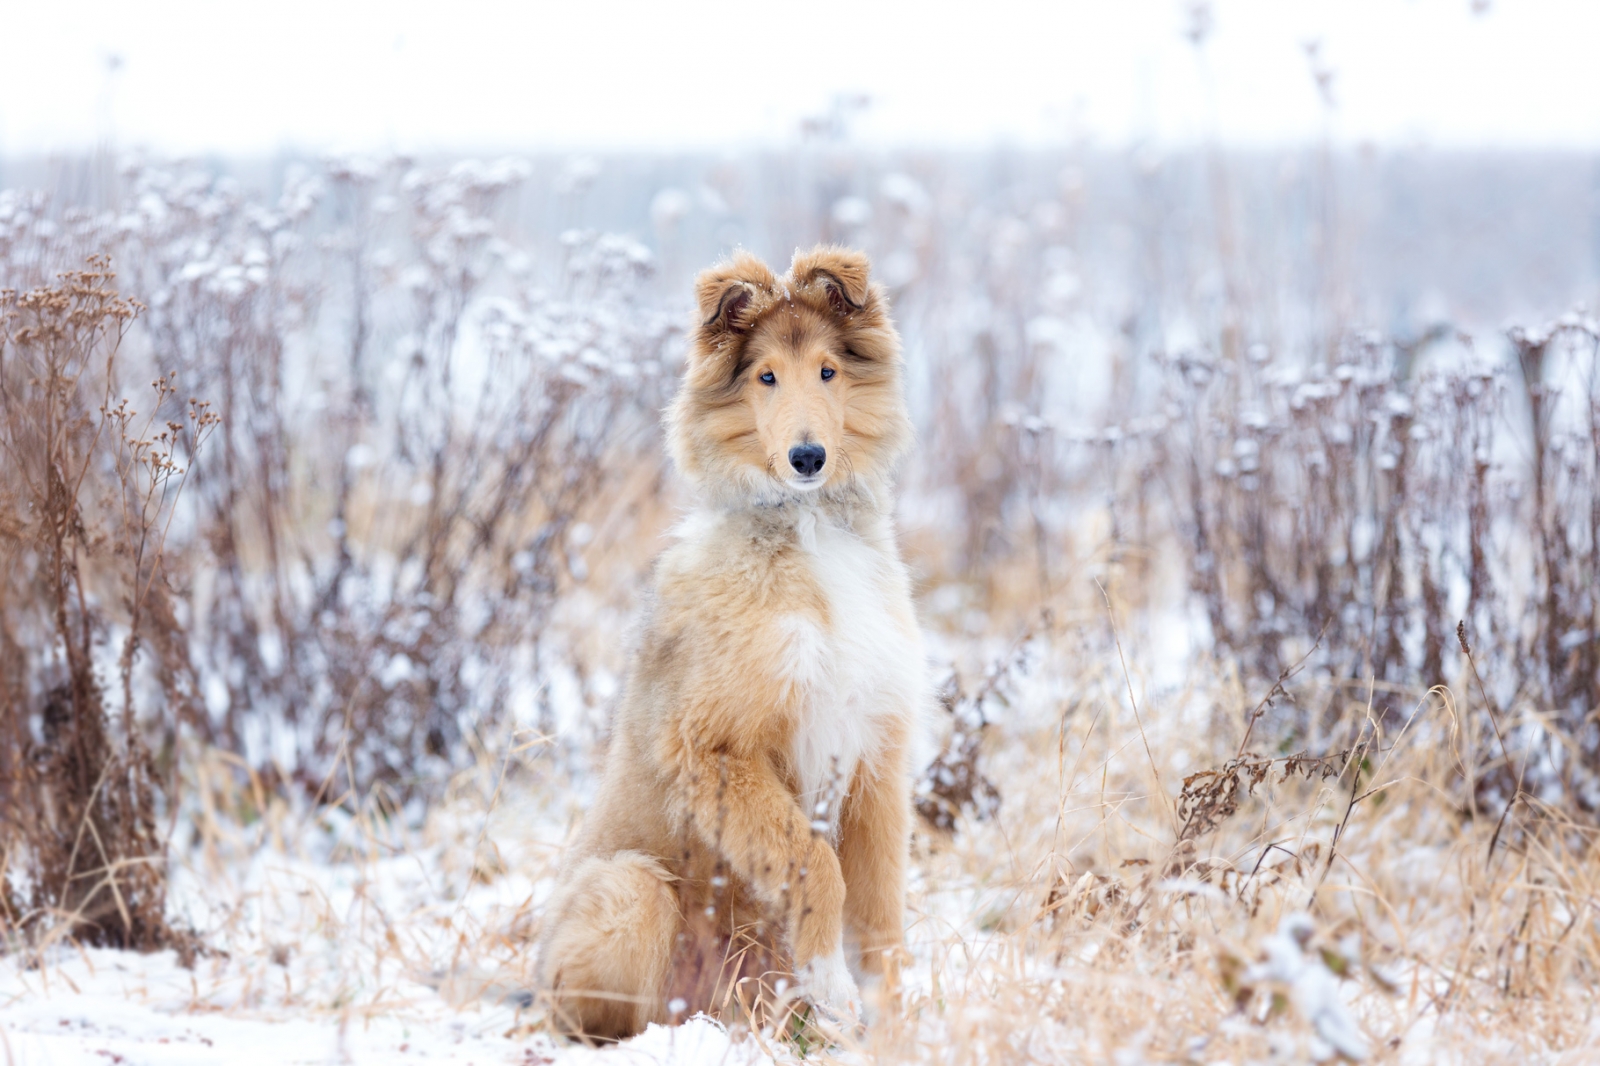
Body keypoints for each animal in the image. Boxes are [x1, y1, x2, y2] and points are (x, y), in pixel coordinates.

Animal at [534, 244, 928, 1030]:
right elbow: (817, 864)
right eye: (765, 376)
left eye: (828, 371)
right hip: (631, 890)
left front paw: (889, 1019)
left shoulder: (876, 751)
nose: (807, 458)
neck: (808, 531)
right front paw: (834, 985)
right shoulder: (714, 748)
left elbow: (880, 906)